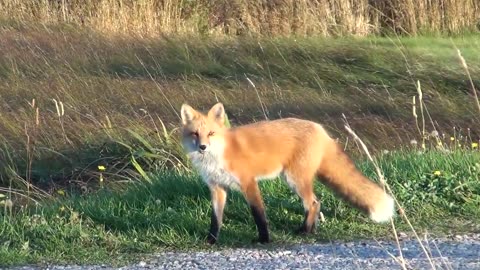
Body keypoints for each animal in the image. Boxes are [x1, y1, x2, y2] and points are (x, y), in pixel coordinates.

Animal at [179, 102, 394, 244]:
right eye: (195, 134)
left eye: (211, 133)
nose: (203, 147)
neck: (218, 155)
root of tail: (320, 128)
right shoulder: (217, 187)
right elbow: (216, 219)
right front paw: (211, 240)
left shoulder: (249, 182)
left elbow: (259, 214)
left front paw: (264, 239)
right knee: (316, 202)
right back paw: (310, 230)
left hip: (294, 179)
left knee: (313, 203)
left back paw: (304, 231)